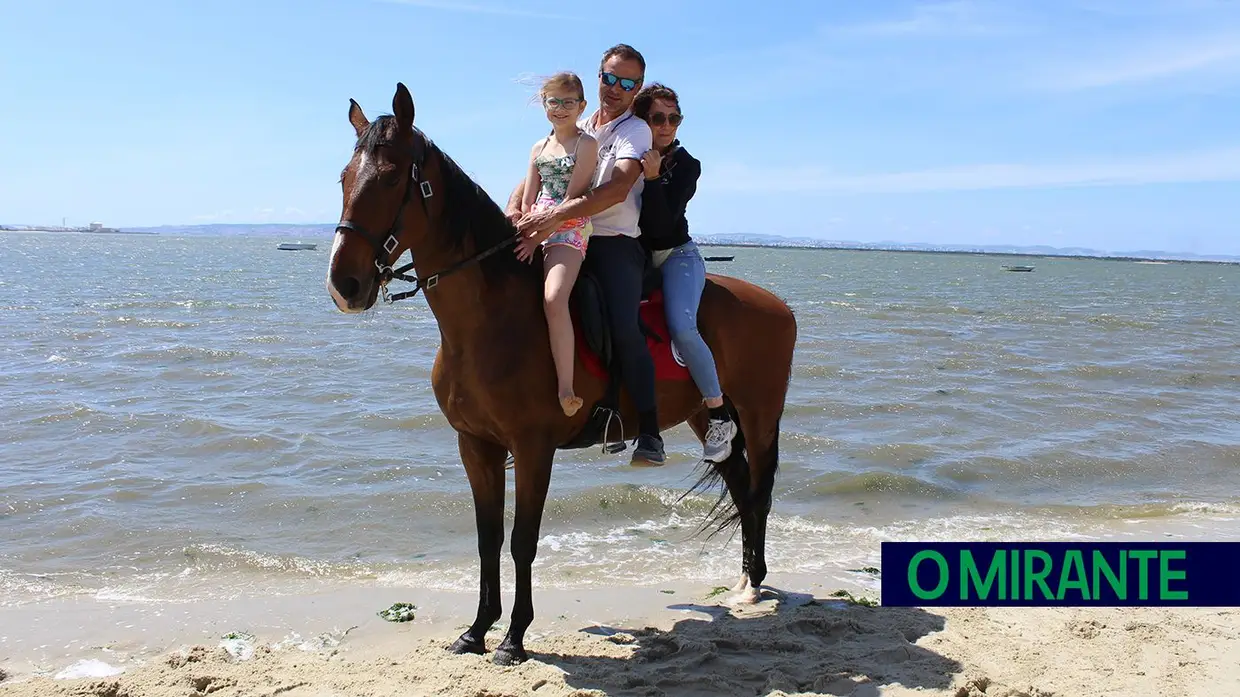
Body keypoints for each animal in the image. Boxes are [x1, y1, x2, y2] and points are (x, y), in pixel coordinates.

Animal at [324, 81, 798, 659]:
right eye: (345, 178)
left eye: (392, 177)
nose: (344, 284)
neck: (492, 320)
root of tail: (774, 304)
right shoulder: (475, 445)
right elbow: (487, 539)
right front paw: (476, 630)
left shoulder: (533, 448)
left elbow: (522, 540)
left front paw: (514, 637)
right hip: (709, 416)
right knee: (740, 483)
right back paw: (747, 579)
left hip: (759, 414)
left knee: (760, 491)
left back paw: (755, 584)